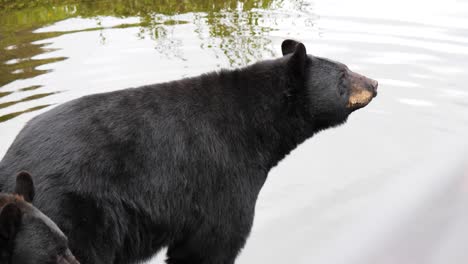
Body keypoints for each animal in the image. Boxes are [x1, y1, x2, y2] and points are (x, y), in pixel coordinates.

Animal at [0, 39, 376, 264]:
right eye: (343, 75)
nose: (374, 83)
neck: (256, 127)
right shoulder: (222, 175)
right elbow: (214, 241)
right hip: (77, 213)